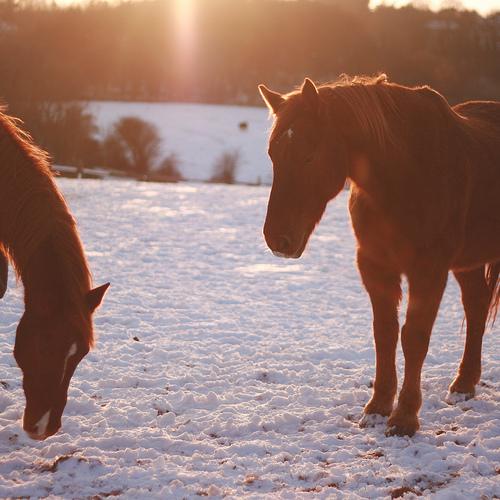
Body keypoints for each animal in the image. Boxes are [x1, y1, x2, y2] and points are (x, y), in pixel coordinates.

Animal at [260, 75, 500, 438]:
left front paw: (404, 418)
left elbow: (414, 337)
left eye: (309, 155)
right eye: (273, 154)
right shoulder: (375, 266)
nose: (277, 238)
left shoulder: (429, 270)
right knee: (476, 305)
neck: (406, 176)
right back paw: (463, 384)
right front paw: (377, 407)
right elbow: (384, 332)